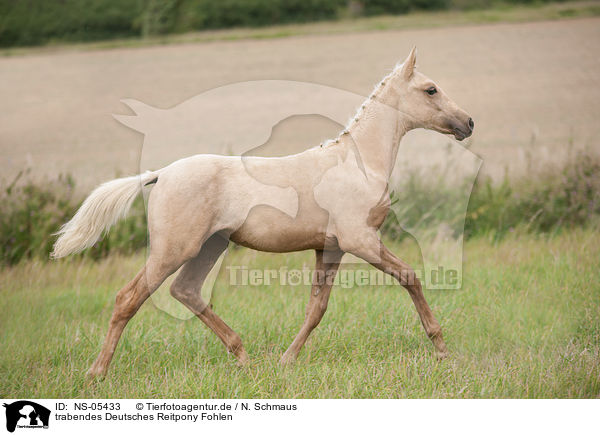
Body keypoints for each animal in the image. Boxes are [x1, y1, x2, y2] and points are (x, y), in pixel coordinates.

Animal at [52, 48, 474, 378]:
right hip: (174, 249)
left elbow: (317, 308)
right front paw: (442, 351)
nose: (468, 122)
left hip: (210, 247)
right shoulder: (362, 240)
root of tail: (161, 173)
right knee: (130, 297)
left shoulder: (331, 248)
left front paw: (286, 361)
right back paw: (97, 373)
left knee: (185, 290)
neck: (358, 163)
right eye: (431, 89)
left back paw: (244, 357)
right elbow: (410, 277)